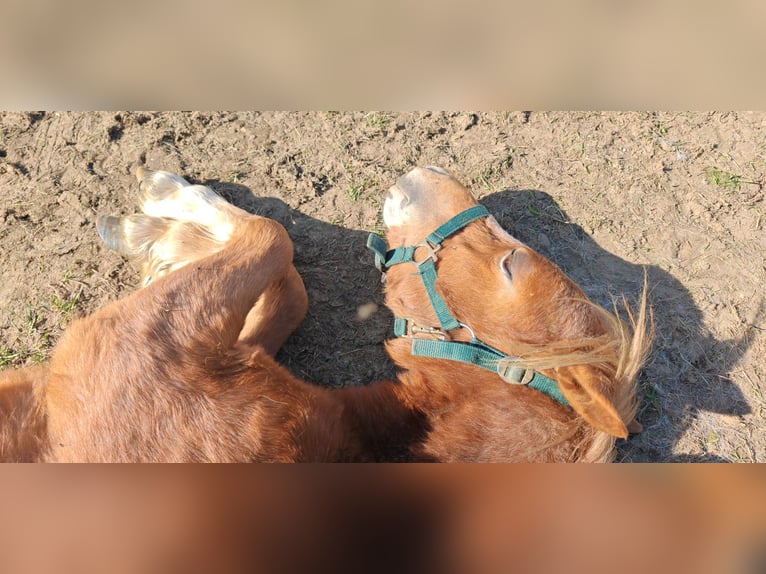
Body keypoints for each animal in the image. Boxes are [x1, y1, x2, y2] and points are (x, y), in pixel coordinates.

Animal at [0, 166, 650, 461]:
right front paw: (170, 243)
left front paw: (163, 210)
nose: (429, 173)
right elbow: (289, 289)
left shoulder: (129, 341)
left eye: (512, 264)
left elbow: (272, 237)